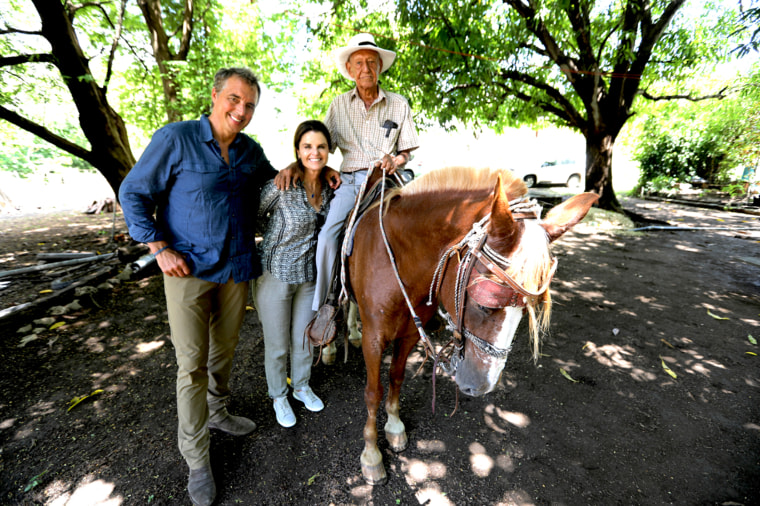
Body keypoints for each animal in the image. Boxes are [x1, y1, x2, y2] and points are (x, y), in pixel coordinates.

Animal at [346, 165, 600, 482]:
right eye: (484, 303)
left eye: (525, 310)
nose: (482, 386)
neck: (399, 260)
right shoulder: (374, 337)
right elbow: (373, 392)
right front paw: (371, 454)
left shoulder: (410, 334)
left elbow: (396, 377)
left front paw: (394, 426)